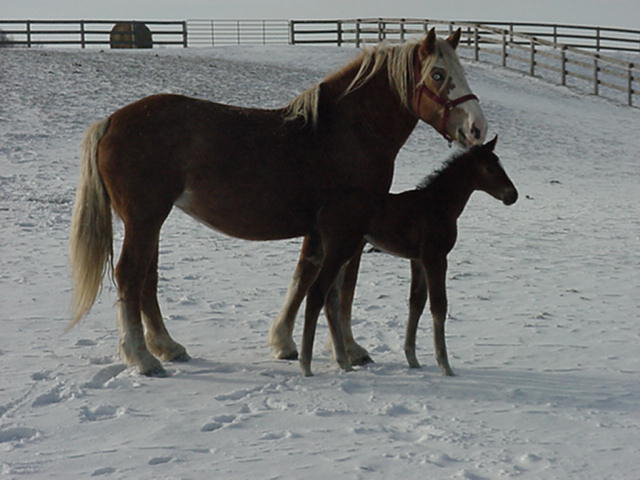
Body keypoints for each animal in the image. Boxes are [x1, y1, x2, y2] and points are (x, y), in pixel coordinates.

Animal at [69, 29, 484, 378]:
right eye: (438, 75)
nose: (477, 127)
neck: (345, 132)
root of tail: (111, 121)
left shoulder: (322, 231)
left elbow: (305, 278)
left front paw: (284, 342)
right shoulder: (350, 231)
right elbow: (340, 289)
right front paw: (349, 349)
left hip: (150, 221)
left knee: (147, 279)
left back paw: (167, 346)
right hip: (145, 218)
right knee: (129, 275)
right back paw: (142, 358)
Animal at [302, 135, 520, 376]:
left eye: (500, 164)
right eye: (490, 168)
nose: (513, 195)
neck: (438, 206)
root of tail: (322, 209)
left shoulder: (417, 260)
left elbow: (416, 302)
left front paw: (413, 359)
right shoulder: (436, 257)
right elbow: (439, 306)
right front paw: (445, 366)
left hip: (344, 253)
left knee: (330, 297)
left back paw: (344, 362)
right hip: (340, 250)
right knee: (316, 293)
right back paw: (306, 365)